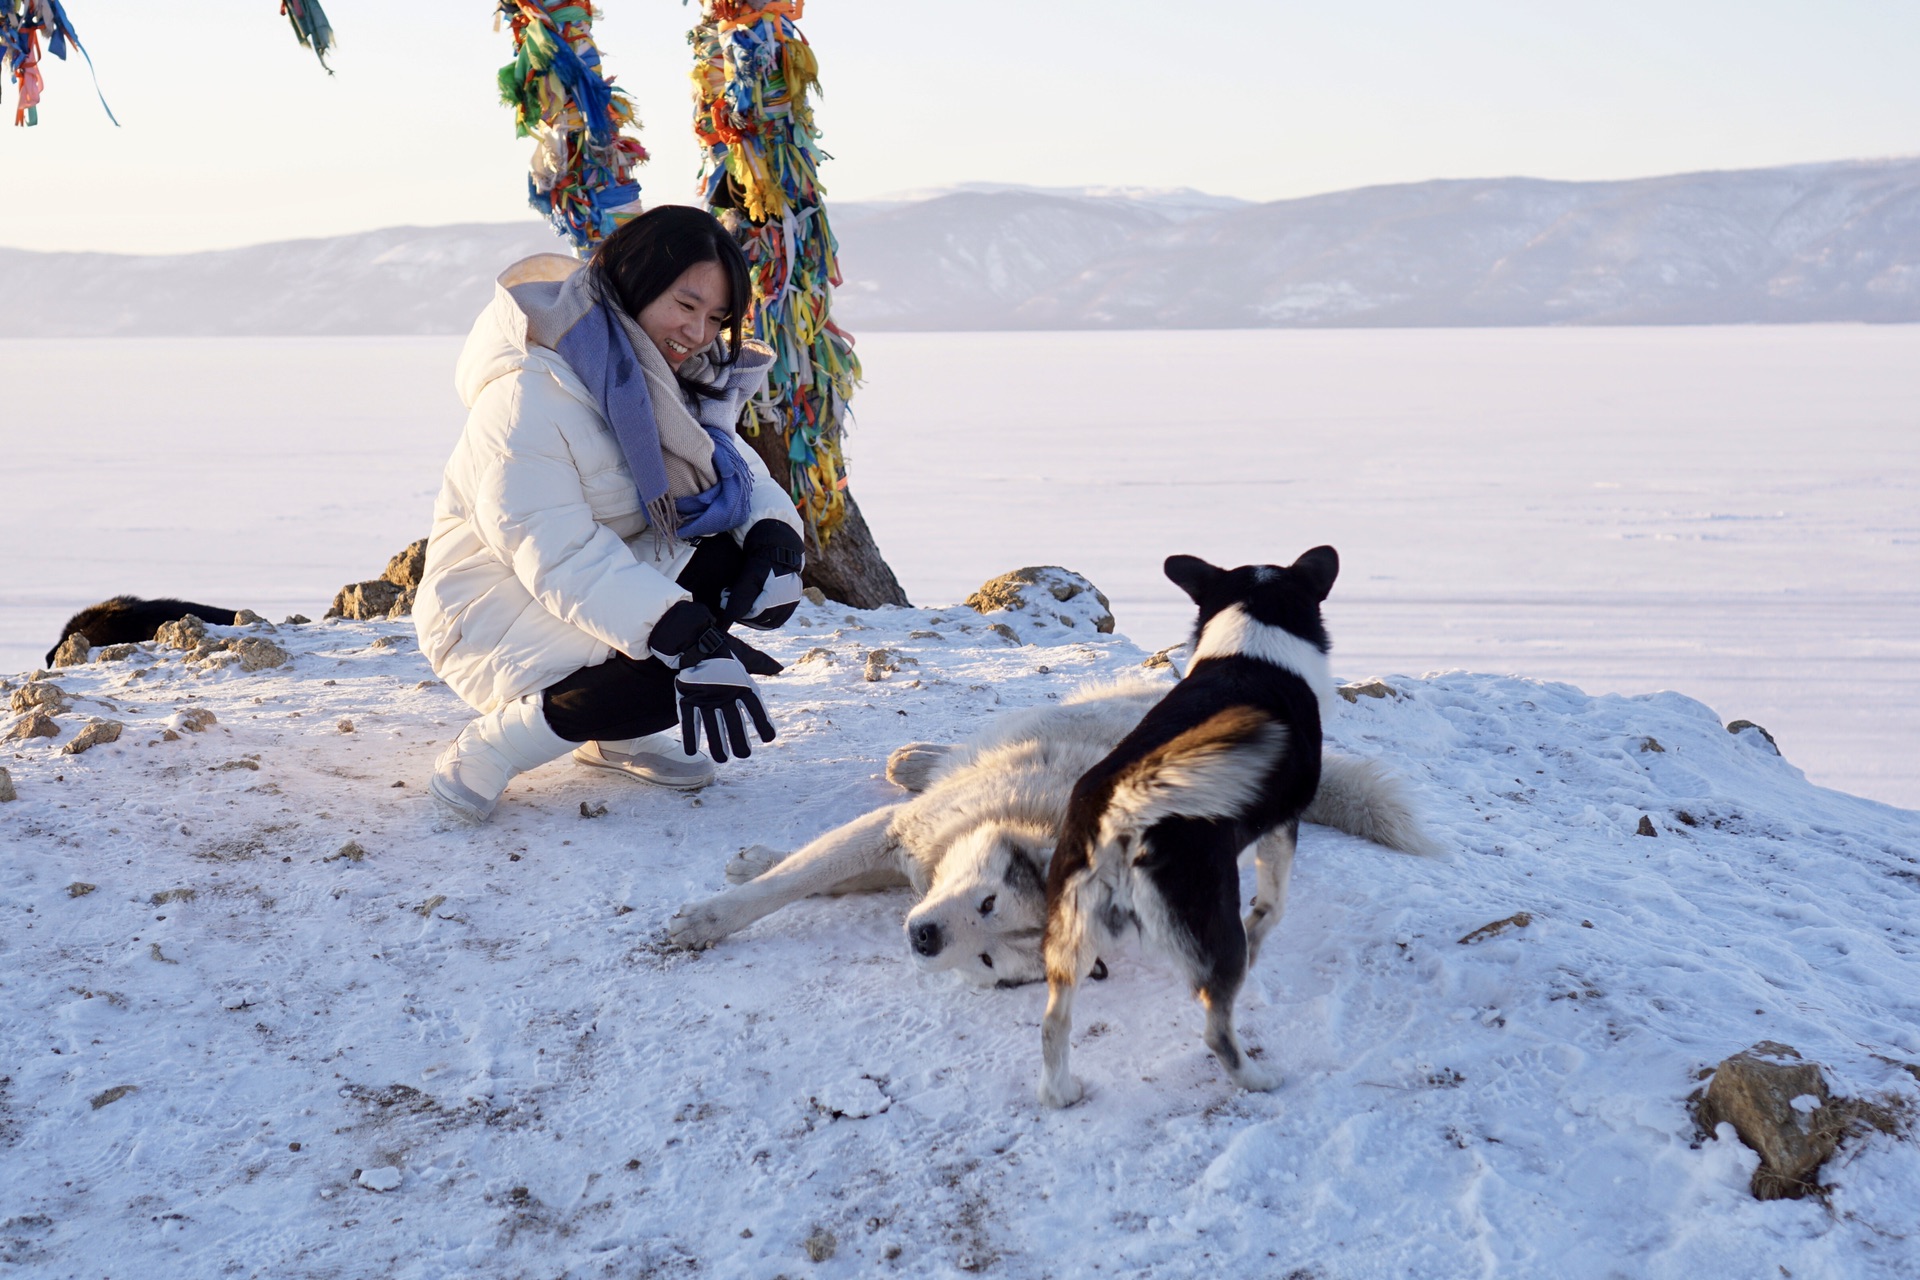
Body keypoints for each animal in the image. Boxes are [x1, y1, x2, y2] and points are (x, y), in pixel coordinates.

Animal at [1044, 545, 1344, 1105]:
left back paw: (1061, 1092)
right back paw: (1256, 1079)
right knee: (1216, 1027)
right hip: (1211, 927)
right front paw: (1260, 934)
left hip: (1070, 933)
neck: (1252, 642)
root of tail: (1124, 809)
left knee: (1054, 1023)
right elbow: (1272, 908)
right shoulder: (1283, 824)